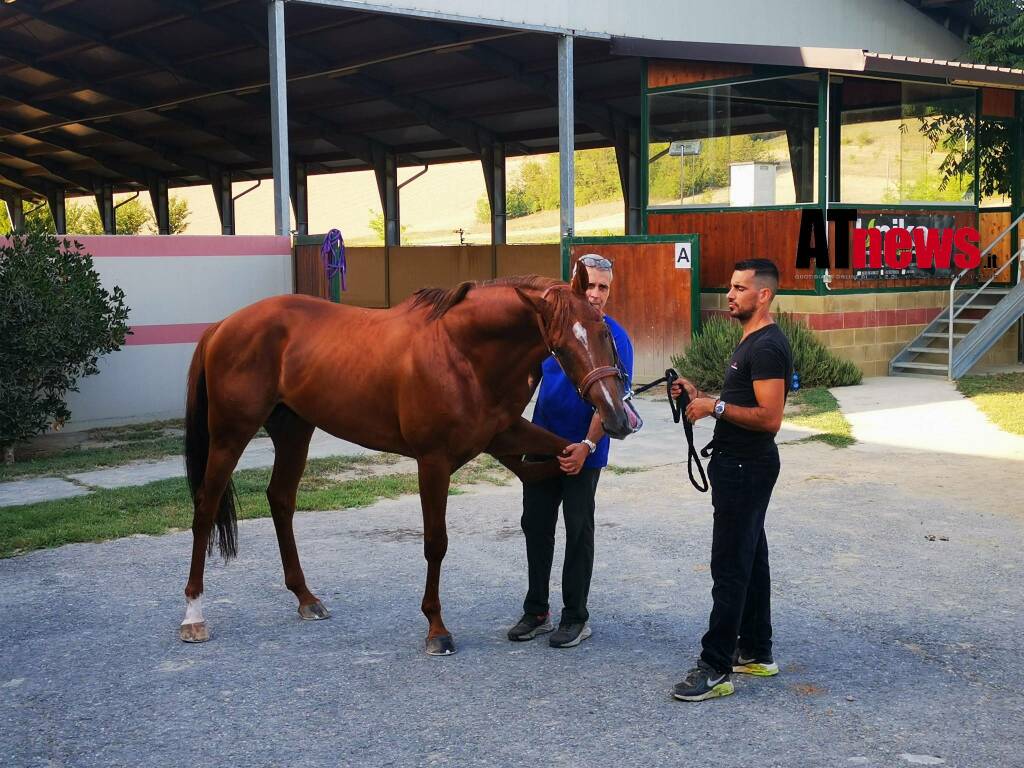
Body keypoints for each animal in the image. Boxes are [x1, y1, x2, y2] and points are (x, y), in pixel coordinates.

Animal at [180, 270, 634, 655]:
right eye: (562, 345)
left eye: (603, 330)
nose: (616, 417)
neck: (461, 352)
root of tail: (222, 326)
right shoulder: (433, 461)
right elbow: (436, 543)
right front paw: (437, 629)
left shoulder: (503, 434)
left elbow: (560, 454)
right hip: (230, 434)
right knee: (205, 507)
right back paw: (194, 616)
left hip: (294, 429)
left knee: (280, 500)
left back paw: (306, 598)